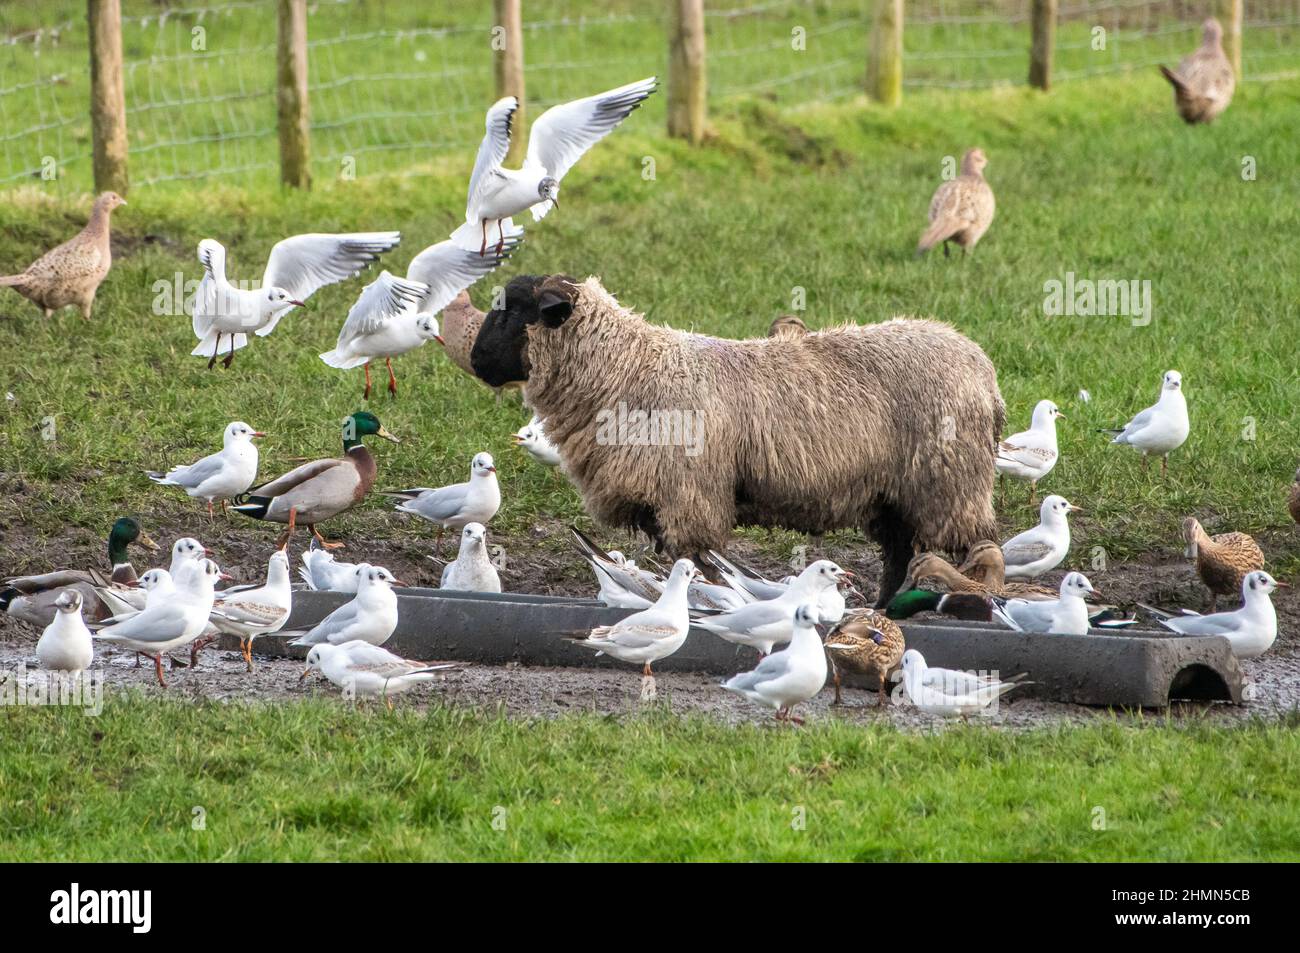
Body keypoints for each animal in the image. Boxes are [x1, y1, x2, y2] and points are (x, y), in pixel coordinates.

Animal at [470, 273, 1003, 603]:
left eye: (513, 311)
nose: (475, 361)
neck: (627, 368)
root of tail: (982, 366)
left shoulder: (690, 497)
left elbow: (696, 563)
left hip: (949, 482)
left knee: (969, 547)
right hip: (894, 493)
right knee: (898, 555)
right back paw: (882, 608)